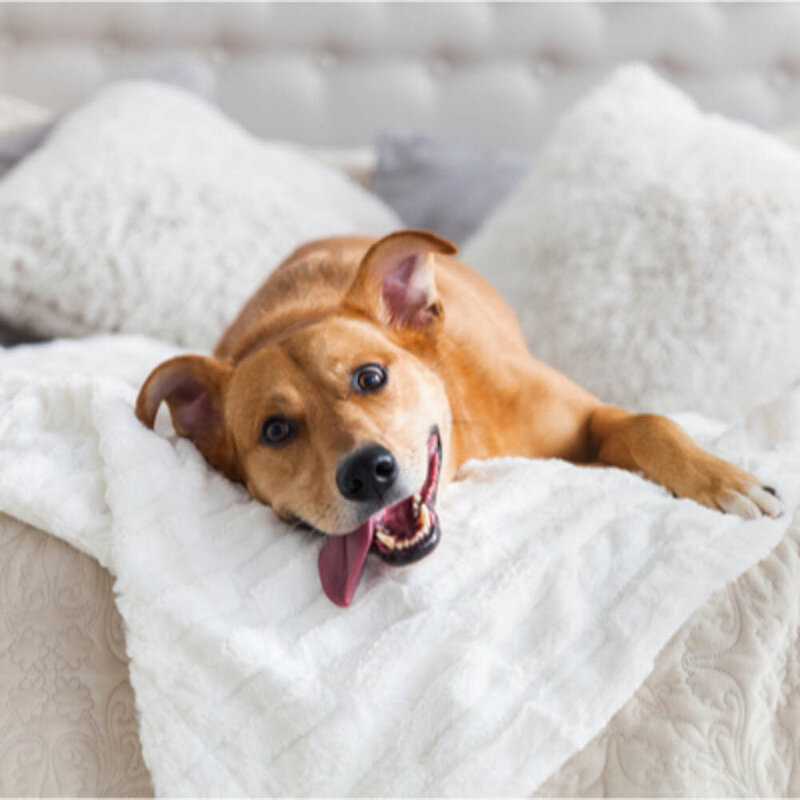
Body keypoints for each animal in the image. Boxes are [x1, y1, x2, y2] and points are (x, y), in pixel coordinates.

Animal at [136, 231, 780, 608]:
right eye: (275, 430)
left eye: (370, 378)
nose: (366, 472)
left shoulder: (593, 418)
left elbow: (651, 423)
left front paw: (724, 480)